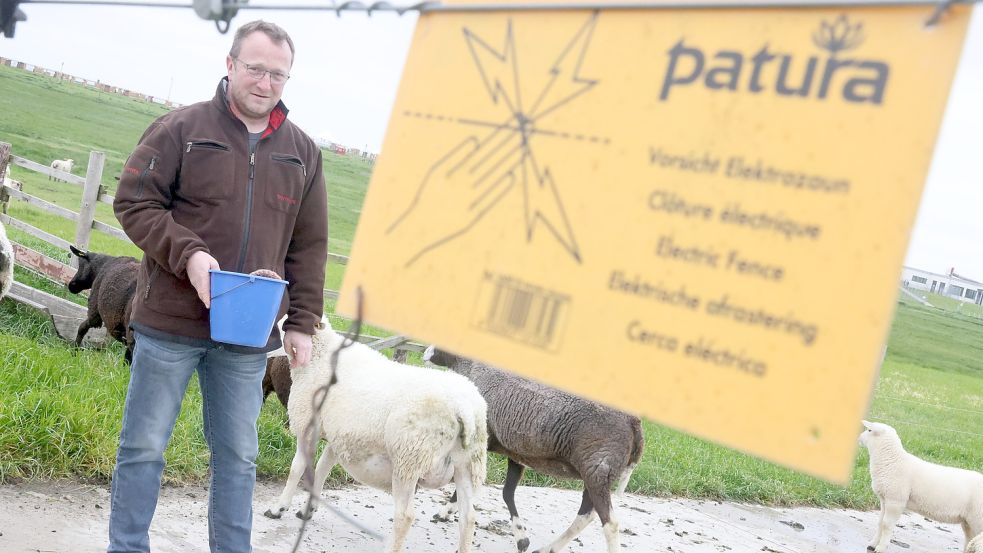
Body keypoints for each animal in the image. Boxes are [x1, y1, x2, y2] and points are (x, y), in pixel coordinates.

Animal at [266, 320, 488, 552]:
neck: (318, 356)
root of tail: (464, 408)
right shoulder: (339, 436)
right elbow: (322, 468)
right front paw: (308, 509)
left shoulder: (307, 424)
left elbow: (296, 469)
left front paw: (278, 508)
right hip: (468, 464)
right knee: (468, 517)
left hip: (409, 458)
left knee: (405, 516)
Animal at [856, 420, 983, 548]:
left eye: (869, 430)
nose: (859, 438)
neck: (892, 461)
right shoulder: (884, 499)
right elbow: (880, 523)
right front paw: (872, 544)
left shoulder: (896, 501)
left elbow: (887, 525)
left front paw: (881, 547)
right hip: (968, 521)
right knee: (970, 539)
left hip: (978, 517)